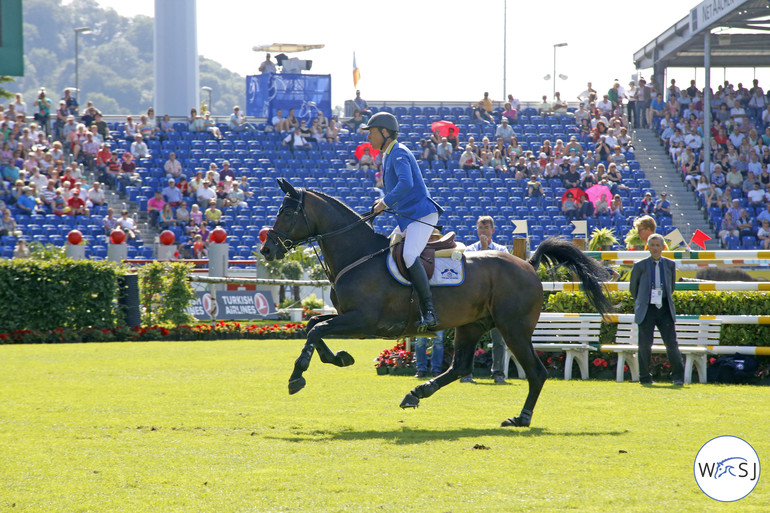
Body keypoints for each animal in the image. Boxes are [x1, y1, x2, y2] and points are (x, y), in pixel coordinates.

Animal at [260, 178, 608, 426]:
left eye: (287, 212)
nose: (267, 250)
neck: (357, 255)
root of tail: (528, 264)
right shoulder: (347, 317)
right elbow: (312, 324)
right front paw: (340, 358)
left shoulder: (363, 320)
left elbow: (315, 331)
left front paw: (297, 376)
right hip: (472, 324)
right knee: (460, 365)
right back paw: (416, 393)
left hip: (513, 328)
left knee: (536, 372)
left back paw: (520, 418)